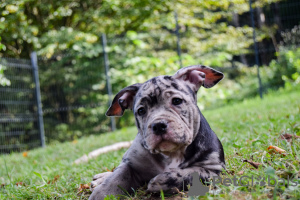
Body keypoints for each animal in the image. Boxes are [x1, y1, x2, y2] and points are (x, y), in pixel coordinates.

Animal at [89, 65, 225, 199]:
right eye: (141, 111)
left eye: (177, 101)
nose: (158, 125)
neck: (172, 154)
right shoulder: (130, 163)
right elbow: (116, 178)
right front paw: (101, 192)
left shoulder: (212, 168)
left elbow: (191, 173)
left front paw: (161, 181)